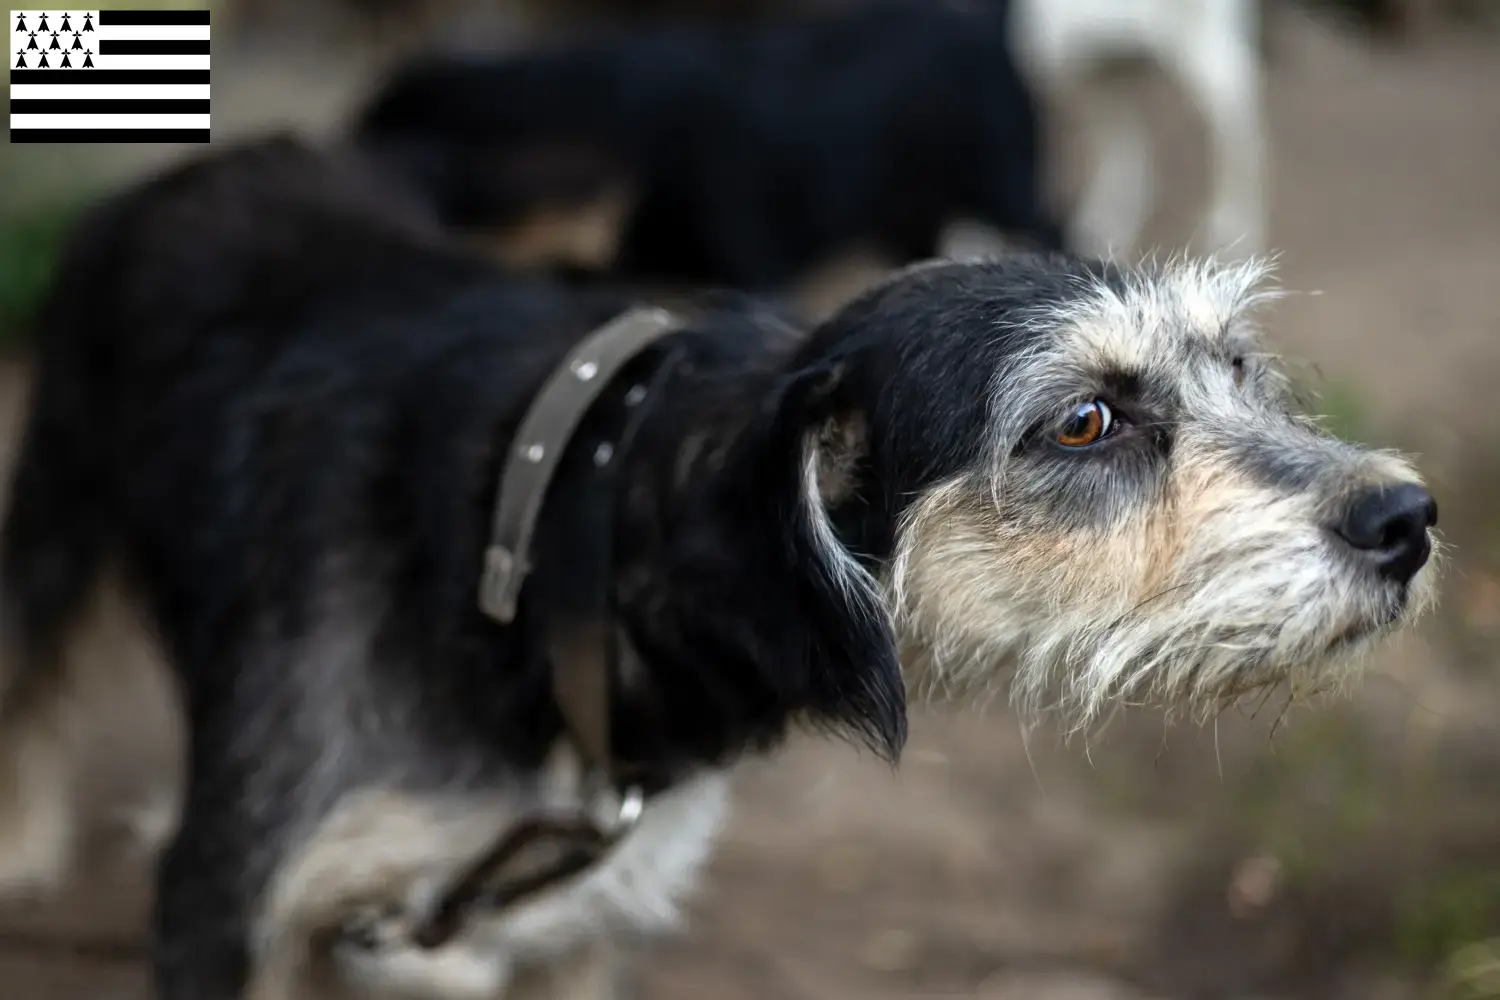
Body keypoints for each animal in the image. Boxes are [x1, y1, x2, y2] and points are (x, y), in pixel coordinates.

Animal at [0, 134, 1434, 1000]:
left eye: (1238, 367)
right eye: (1084, 421)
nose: (1408, 516)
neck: (550, 548)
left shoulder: (568, 929)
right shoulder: (218, 897)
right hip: (54, 509)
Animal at [348, 0, 1068, 290]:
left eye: (386, 141)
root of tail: (985, 27)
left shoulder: (755, 263)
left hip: (1003, 180)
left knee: (1049, 221)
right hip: (905, 218)